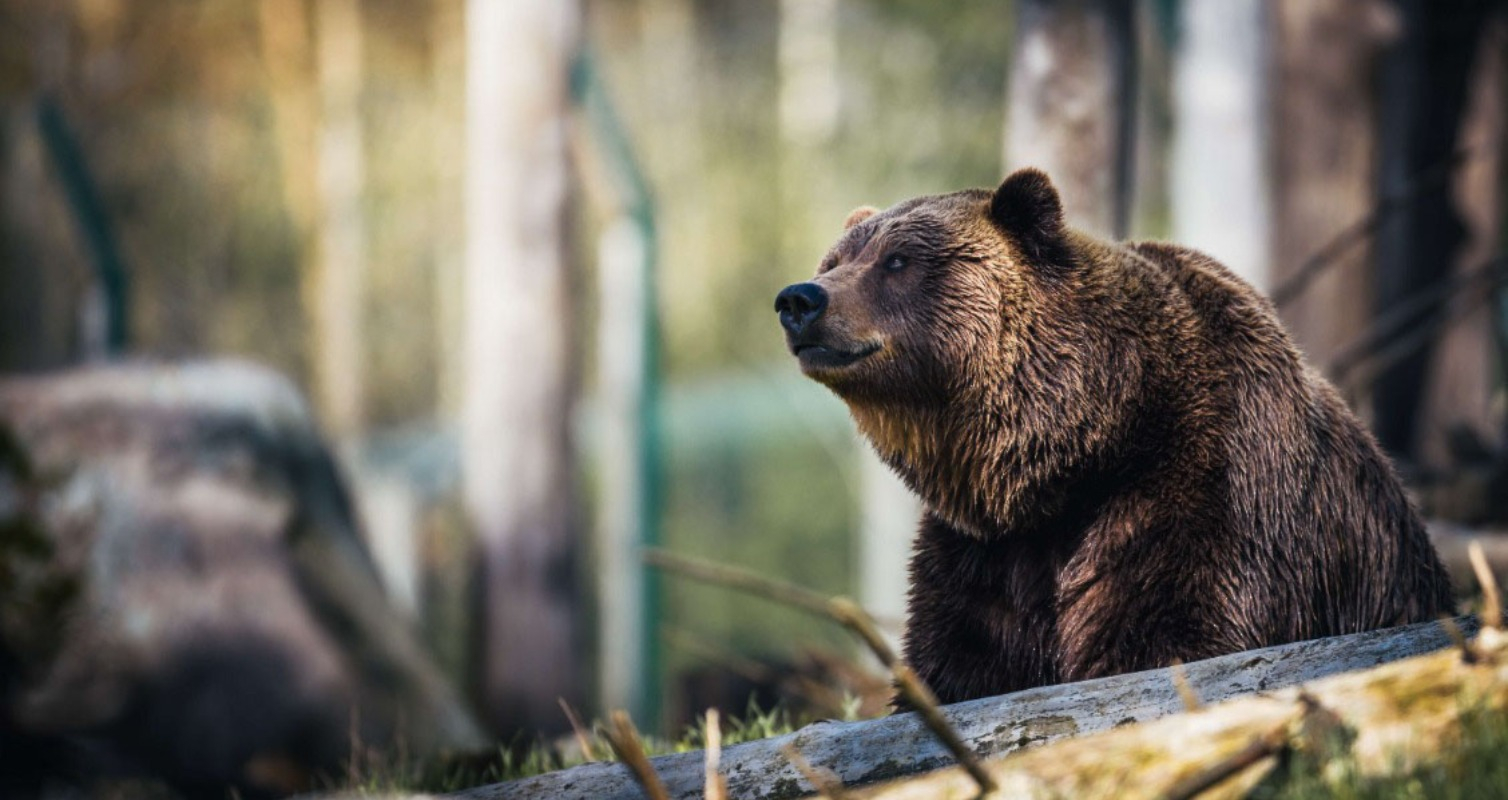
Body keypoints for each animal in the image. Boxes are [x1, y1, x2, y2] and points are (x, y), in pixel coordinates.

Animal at [772, 167, 1453, 702]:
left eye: (898, 261)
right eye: (834, 261)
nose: (800, 299)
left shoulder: (1204, 491)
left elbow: (1167, 635)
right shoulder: (985, 553)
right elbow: (960, 662)